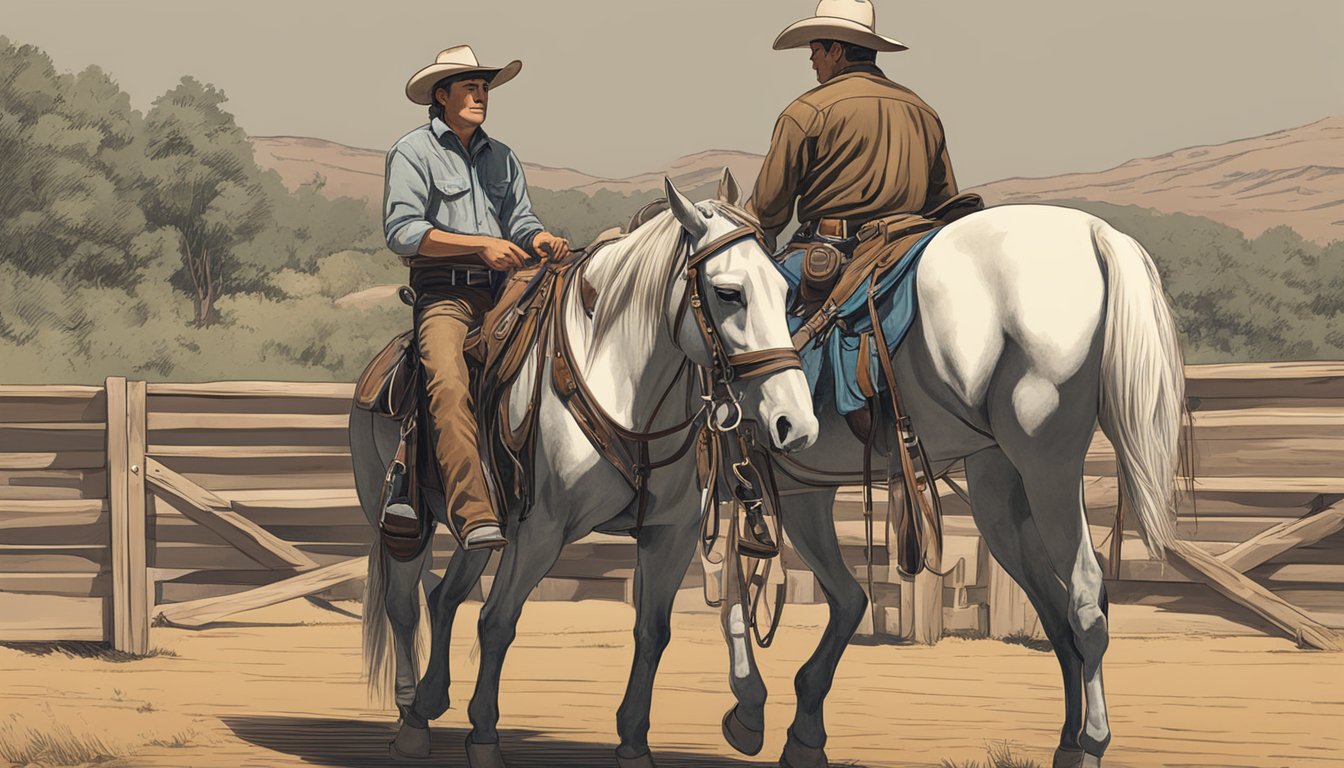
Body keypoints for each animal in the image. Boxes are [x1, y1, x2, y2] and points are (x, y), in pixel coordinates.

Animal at [349, 177, 817, 763]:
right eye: (729, 293)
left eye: (785, 292)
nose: (795, 424)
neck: (622, 387)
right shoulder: (540, 532)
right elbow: (497, 622)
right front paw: (484, 738)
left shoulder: (669, 534)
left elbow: (652, 632)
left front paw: (634, 743)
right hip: (403, 520)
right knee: (404, 605)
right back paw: (411, 722)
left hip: (480, 524)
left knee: (443, 596)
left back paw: (430, 702)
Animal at [715, 204, 1188, 768]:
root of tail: (1098, 234)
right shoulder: (799, 491)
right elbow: (838, 597)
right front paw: (800, 730)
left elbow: (733, 593)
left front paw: (751, 711)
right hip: (998, 494)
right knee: (1058, 613)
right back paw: (1069, 740)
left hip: (1046, 465)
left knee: (1085, 600)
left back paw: (1092, 742)